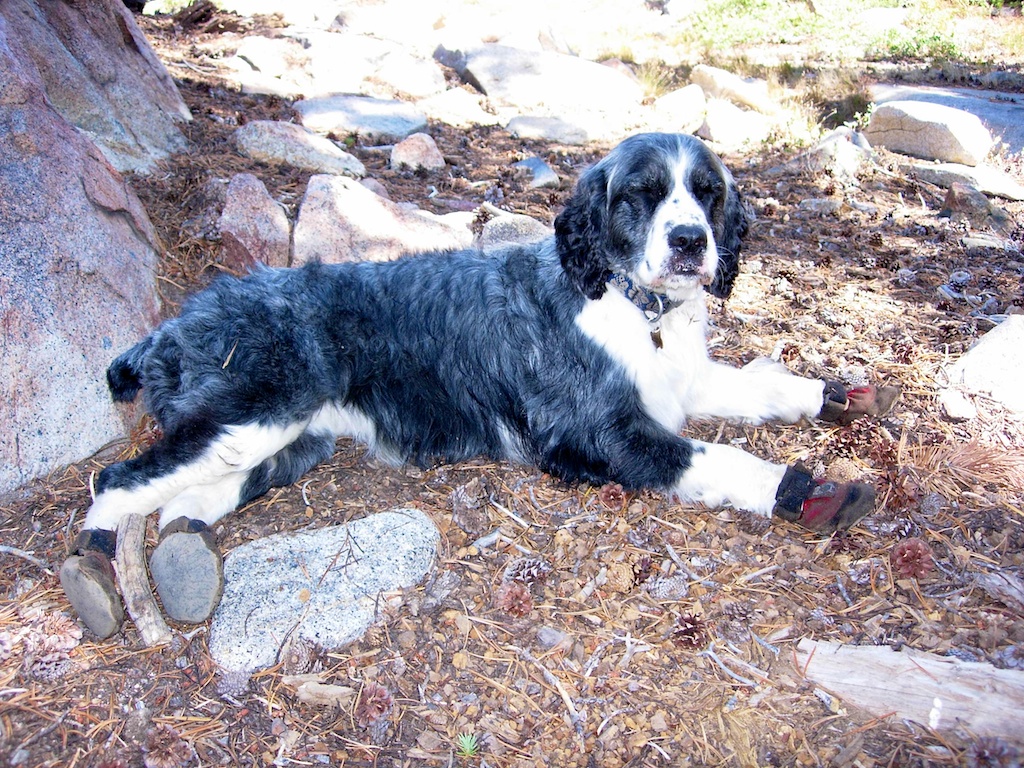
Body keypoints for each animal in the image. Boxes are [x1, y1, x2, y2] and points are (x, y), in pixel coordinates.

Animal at [61, 133, 894, 638]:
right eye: (642, 192)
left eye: (709, 190)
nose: (692, 242)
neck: (634, 303)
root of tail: (178, 318)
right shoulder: (604, 435)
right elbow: (722, 457)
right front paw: (809, 489)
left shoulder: (675, 384)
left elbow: (757, 386)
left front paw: (833, 395)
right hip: (254, 410)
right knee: (117, 482)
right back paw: (96, 566)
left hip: (289, 441)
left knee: (185, 498)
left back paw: (180, 550)